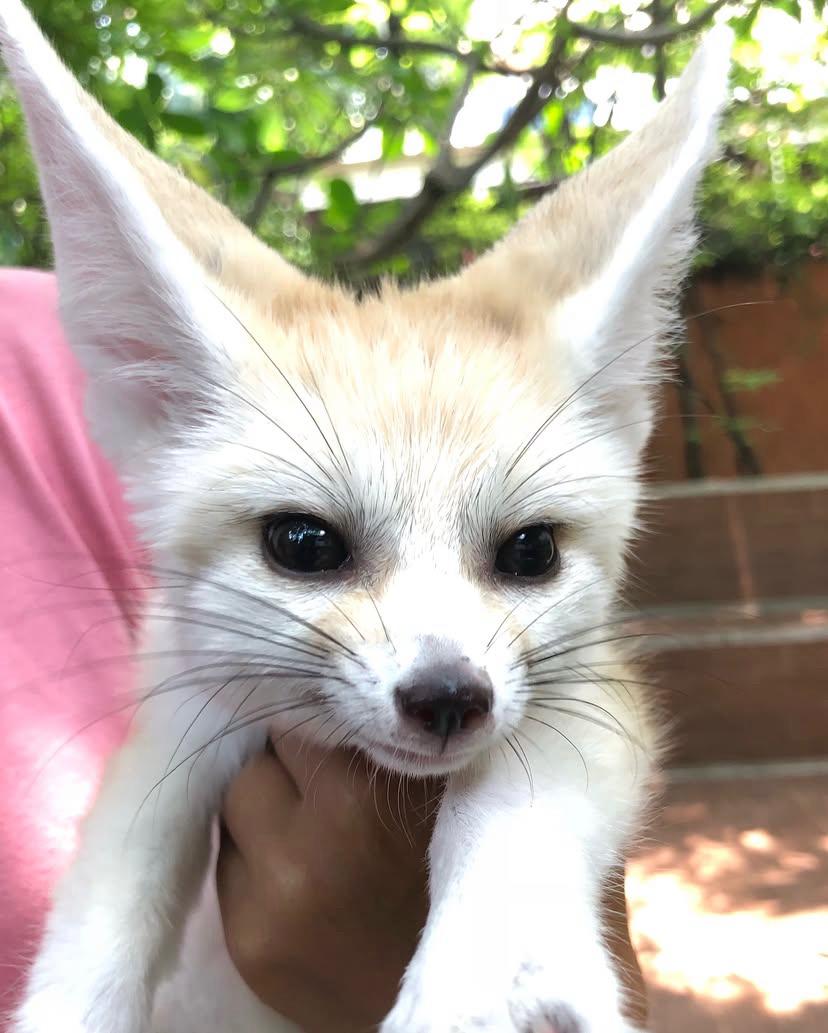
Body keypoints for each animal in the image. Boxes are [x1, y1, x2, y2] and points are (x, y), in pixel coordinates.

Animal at [0, 2, 732, 1031]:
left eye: (531, 551)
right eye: (305, 544)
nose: (449, 697)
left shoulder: (589, 690)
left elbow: (516, 798)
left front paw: (484, 978)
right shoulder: (180, 718)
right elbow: (104, 919)